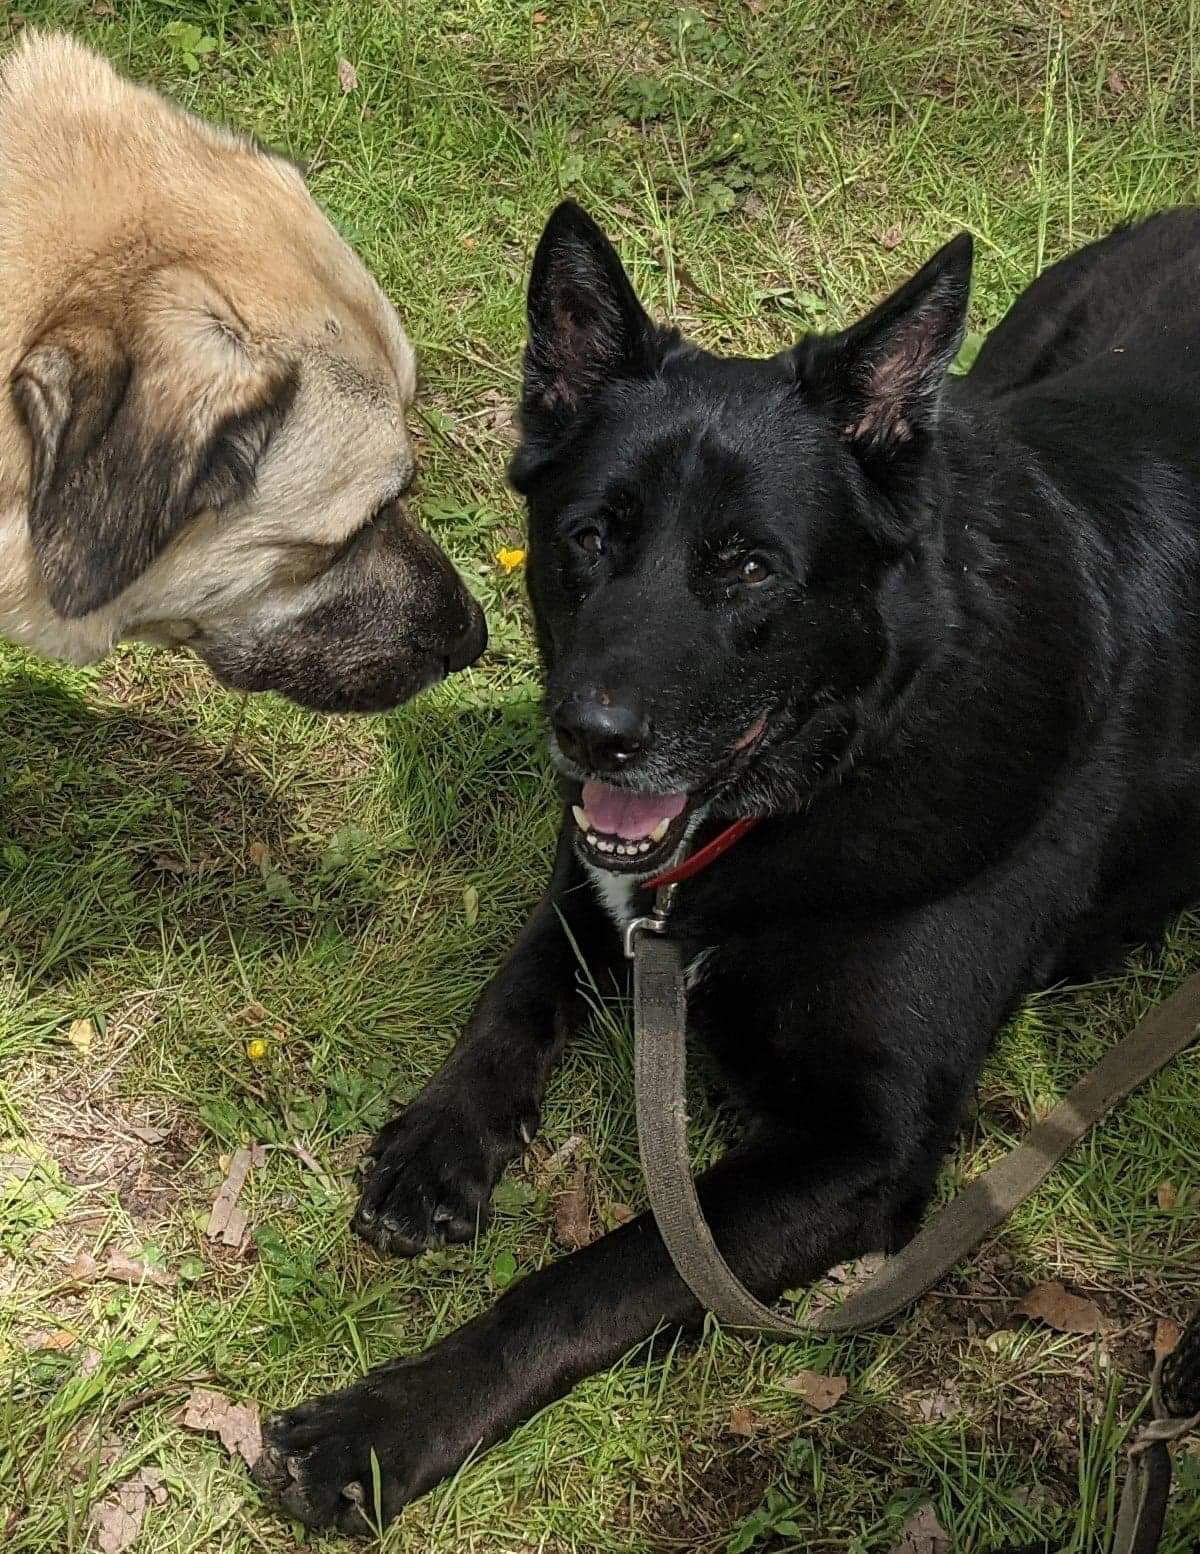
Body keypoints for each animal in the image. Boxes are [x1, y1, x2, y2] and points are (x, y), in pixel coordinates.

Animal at [250, 203, 1200, 1529]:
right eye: (589, 538)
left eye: (749, 567)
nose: (590, 736)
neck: (840, 765)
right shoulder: (603, 890)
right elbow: (511, 996)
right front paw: (443, 1143)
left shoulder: (861, 1150)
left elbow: (604, 1271)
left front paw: (386, 1424)